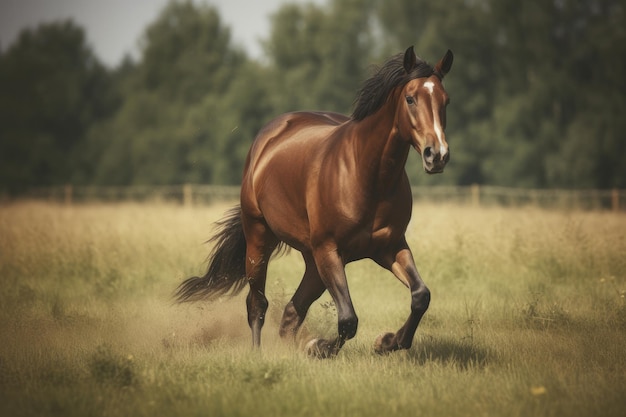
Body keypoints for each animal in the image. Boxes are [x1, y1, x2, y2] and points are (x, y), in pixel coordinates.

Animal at [176, 46, 454, 358]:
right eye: (410, 99)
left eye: (445, 100)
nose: (437, 155)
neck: (366, 175)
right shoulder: (329, 250)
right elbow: (348, 320)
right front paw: (318, 347)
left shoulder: (389, 247)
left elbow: (420, 296)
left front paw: (386, 341)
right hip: (261, 239)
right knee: (257, 304)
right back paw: (259, 353)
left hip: (313, 262)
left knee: (291, 312)